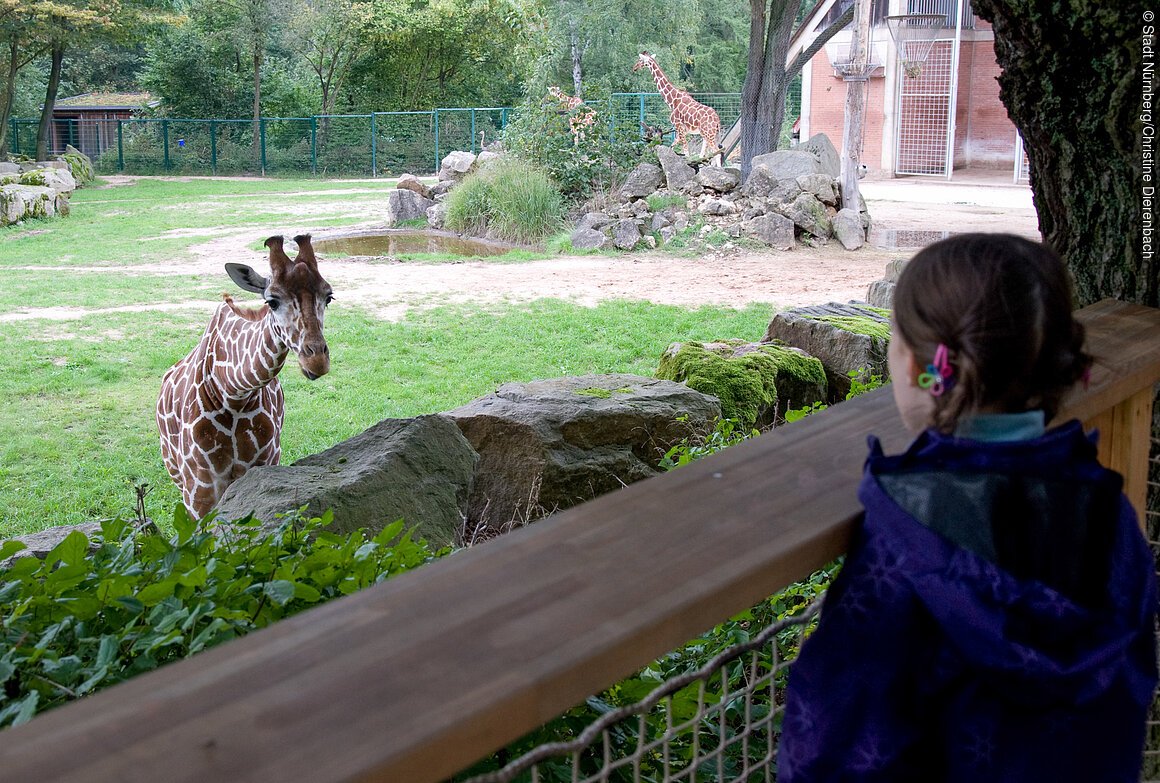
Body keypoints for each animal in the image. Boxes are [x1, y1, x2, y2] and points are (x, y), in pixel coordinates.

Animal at [157, 233, 336, 517]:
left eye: (328, 297)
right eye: (271, 301)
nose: (316, 361)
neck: (233, 394)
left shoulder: (265, 463)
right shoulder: (199, 488)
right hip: (177, 474)